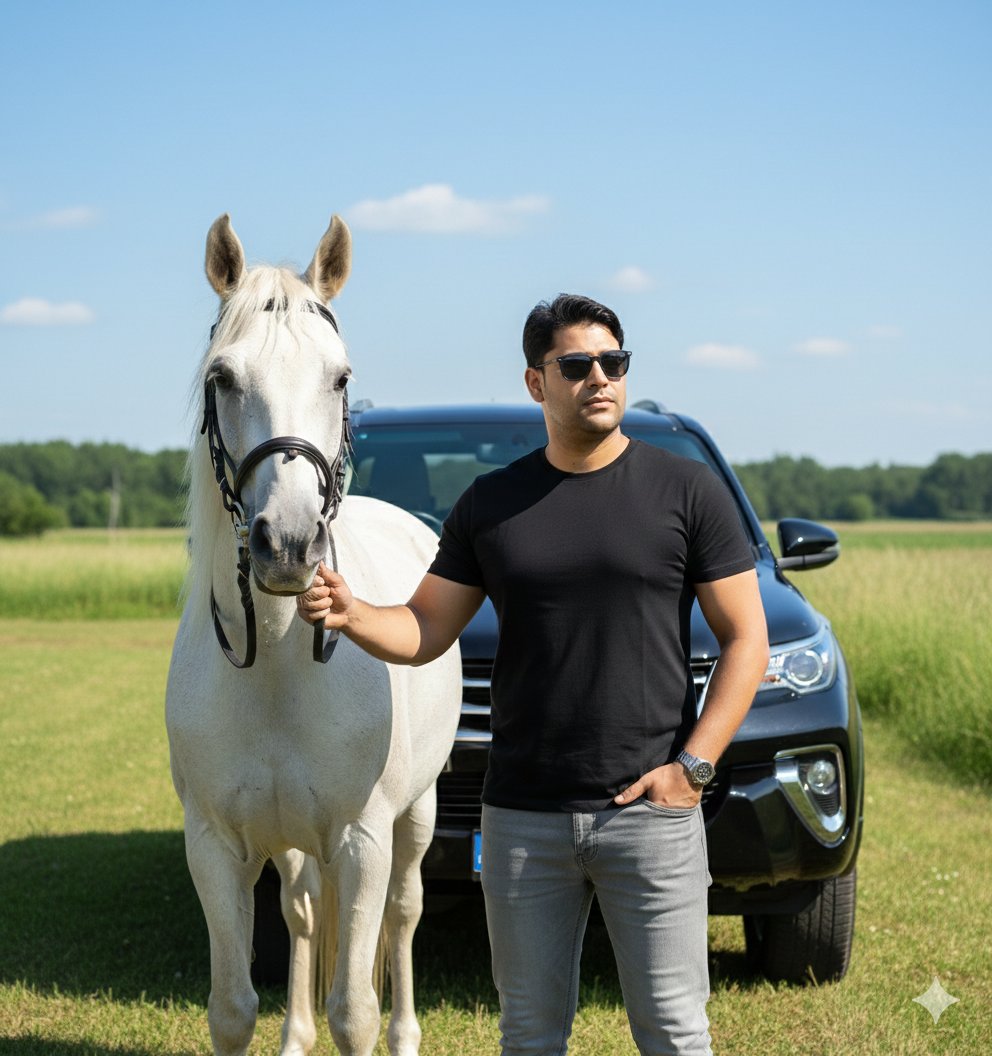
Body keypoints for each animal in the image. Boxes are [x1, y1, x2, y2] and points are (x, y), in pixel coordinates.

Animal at [166, 213, 462, 1056]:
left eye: (339, 377)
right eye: (223, 378)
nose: (290, 545)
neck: (278, 666)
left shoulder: (361, 841)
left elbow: (354, 1010)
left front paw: (373, 1027)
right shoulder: (215, 847)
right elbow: (233, 1009)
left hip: (416, 817)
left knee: (403, 914)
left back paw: (406, 1033)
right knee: (300, 910)